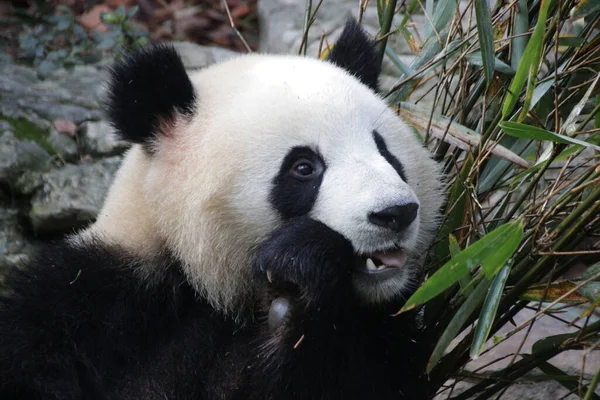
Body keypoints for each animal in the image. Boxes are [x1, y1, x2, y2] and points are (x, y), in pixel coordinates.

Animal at [0, 19, 440, 400]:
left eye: (385, 151)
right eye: (303, 168)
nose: (395, 213)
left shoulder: (388, 329)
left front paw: (295, 288)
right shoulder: (88, 306)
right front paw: (304, 262)